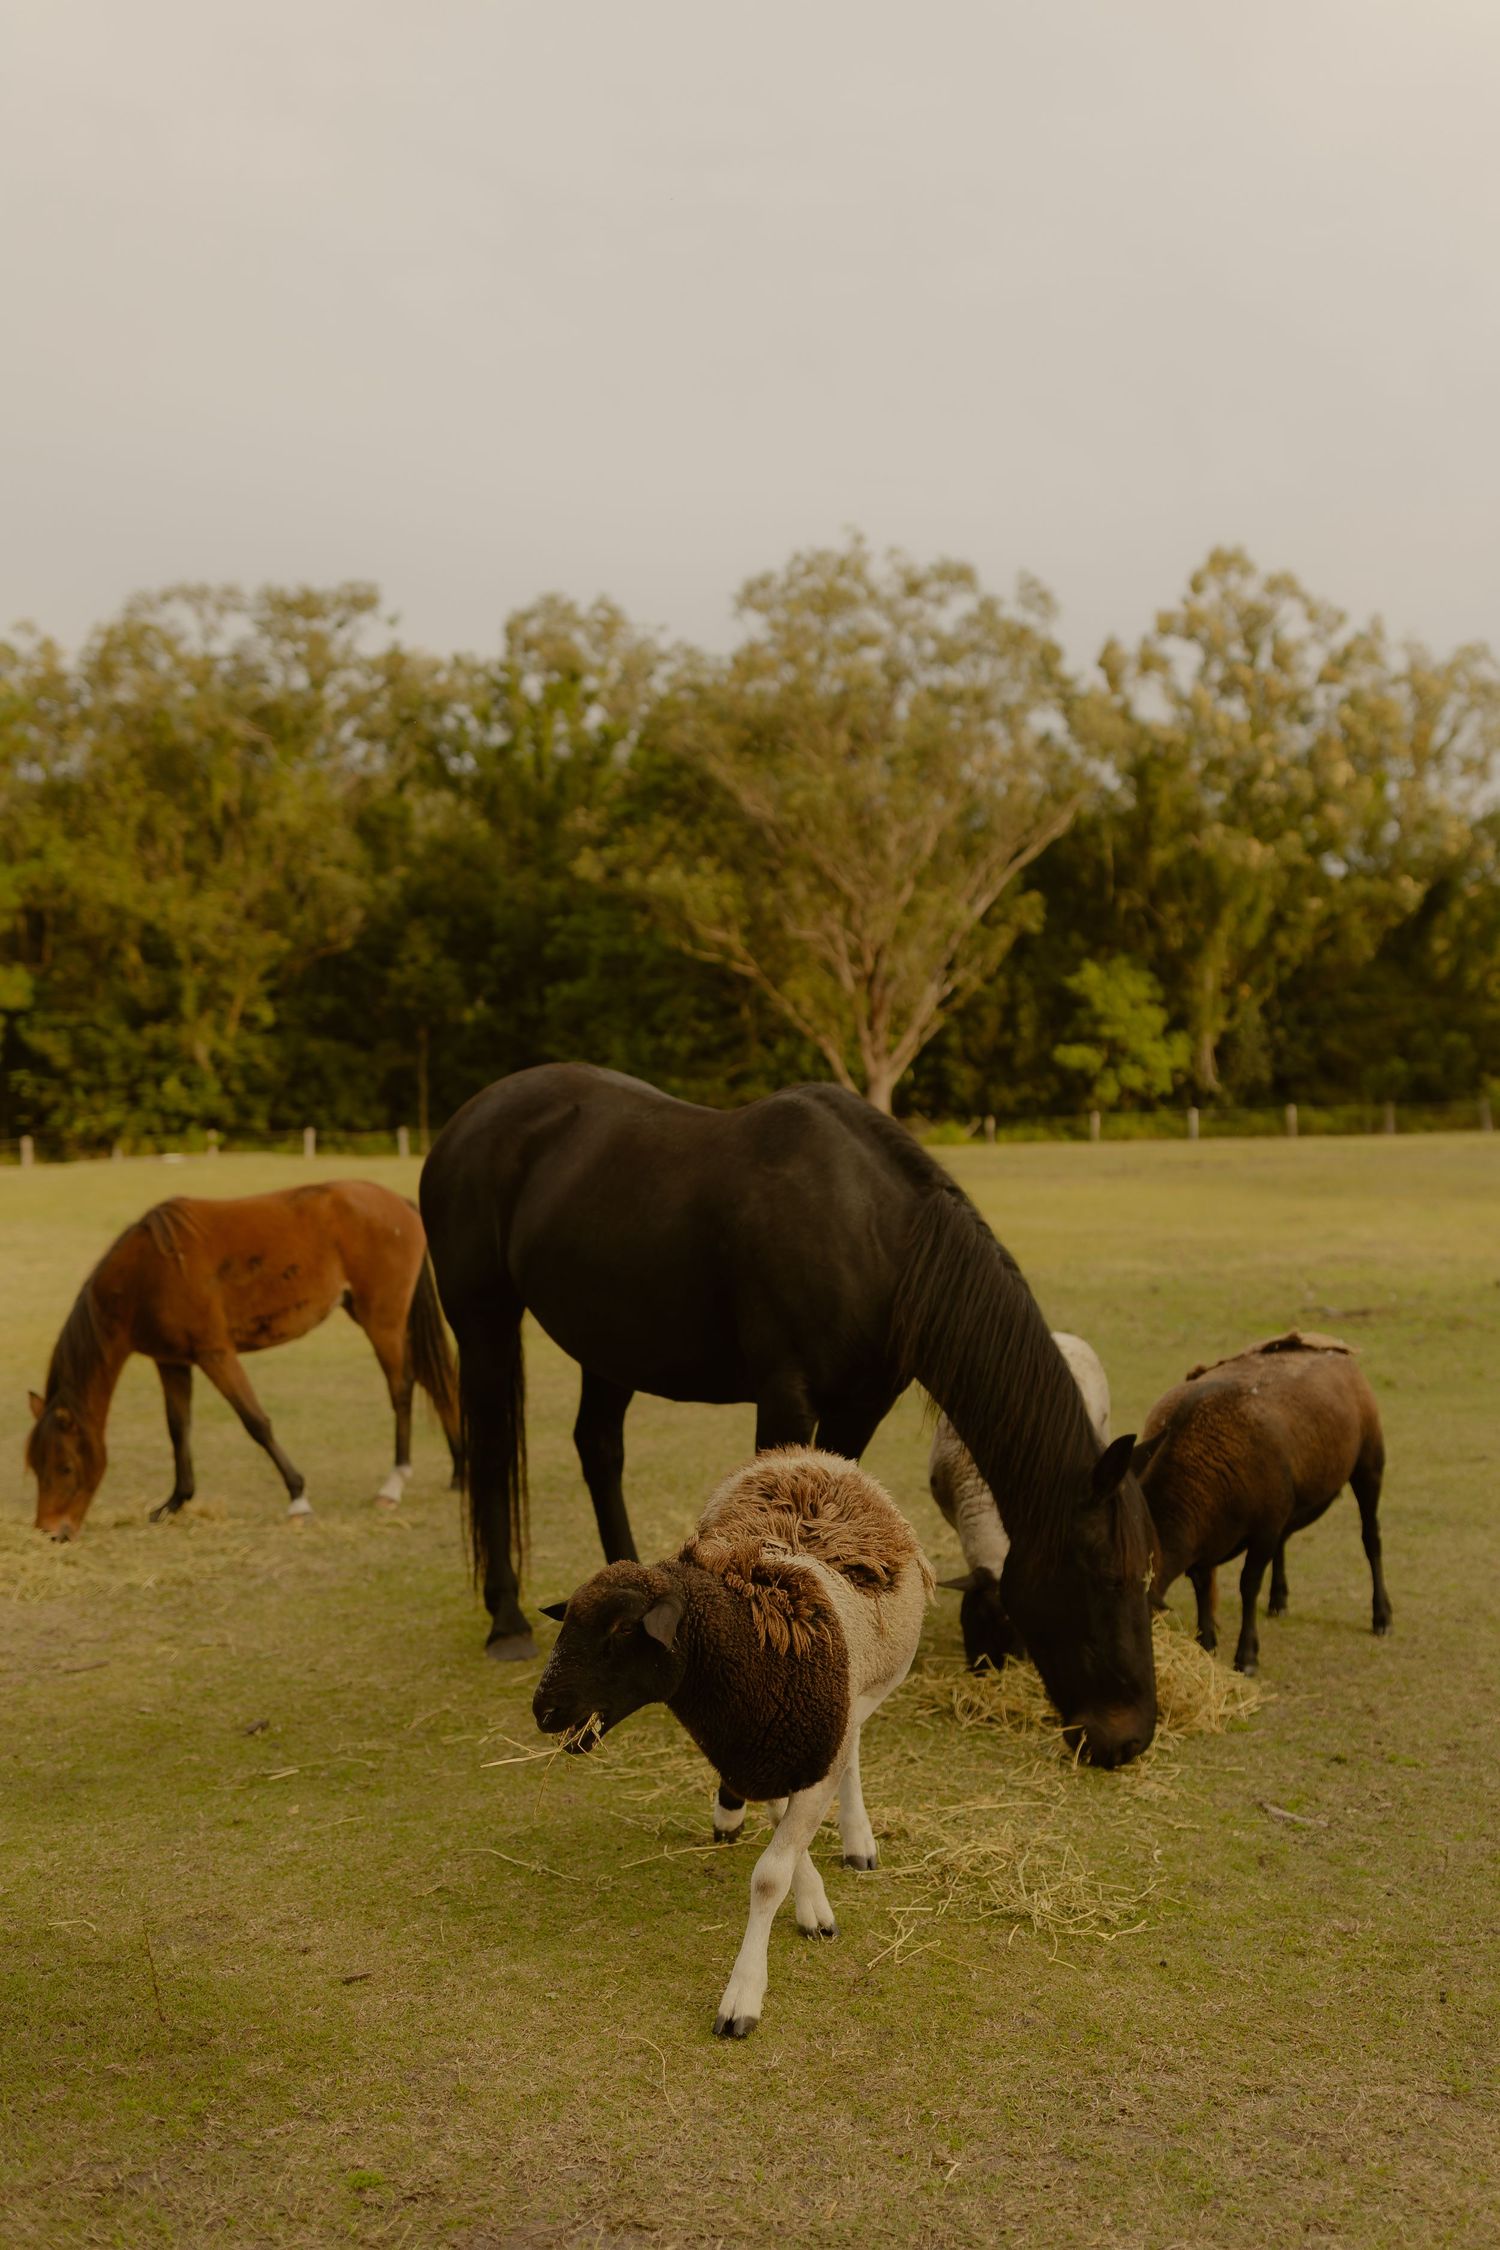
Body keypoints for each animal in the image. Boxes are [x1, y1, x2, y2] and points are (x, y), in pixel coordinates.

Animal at [26, 1181, 460, 1539]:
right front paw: (174, 1503)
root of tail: (401, 1203)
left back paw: (394, 1485)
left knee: (401, 1389)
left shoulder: (215, 1354)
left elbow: (255, 1423)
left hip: (382, 1321)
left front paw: (297, 1499)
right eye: (34, 1466)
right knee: (434, 1383)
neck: (145, 1274)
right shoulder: (172, 1361)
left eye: (64, 1467)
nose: (51, 1532)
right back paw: (459, 1471)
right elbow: (178, 1428)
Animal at [532, 1446, 935, 2039]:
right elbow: (782, 1838)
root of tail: (809, 1455)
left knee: (855, 1749)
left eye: (620, 1632)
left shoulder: (813, 1753)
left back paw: (858, 1838)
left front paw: (742, 1996)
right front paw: (812, 1902)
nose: (543, 1710)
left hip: (868, 1688)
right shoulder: (760, 1752)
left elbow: (769, 1876)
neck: (755, 1642)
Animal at [1133, 1331, 1391, 1675]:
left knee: (1371, 1538)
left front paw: (1246, 1656)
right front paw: (1207, 1643)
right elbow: (1202, 1584)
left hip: (1369, 1461)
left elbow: (1248, 1584)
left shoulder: (1263, 1529)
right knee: (1285, 1540)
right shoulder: (1211, 1533)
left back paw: (1381, 1616)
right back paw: (1278, 1600)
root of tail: (1330, 1347)